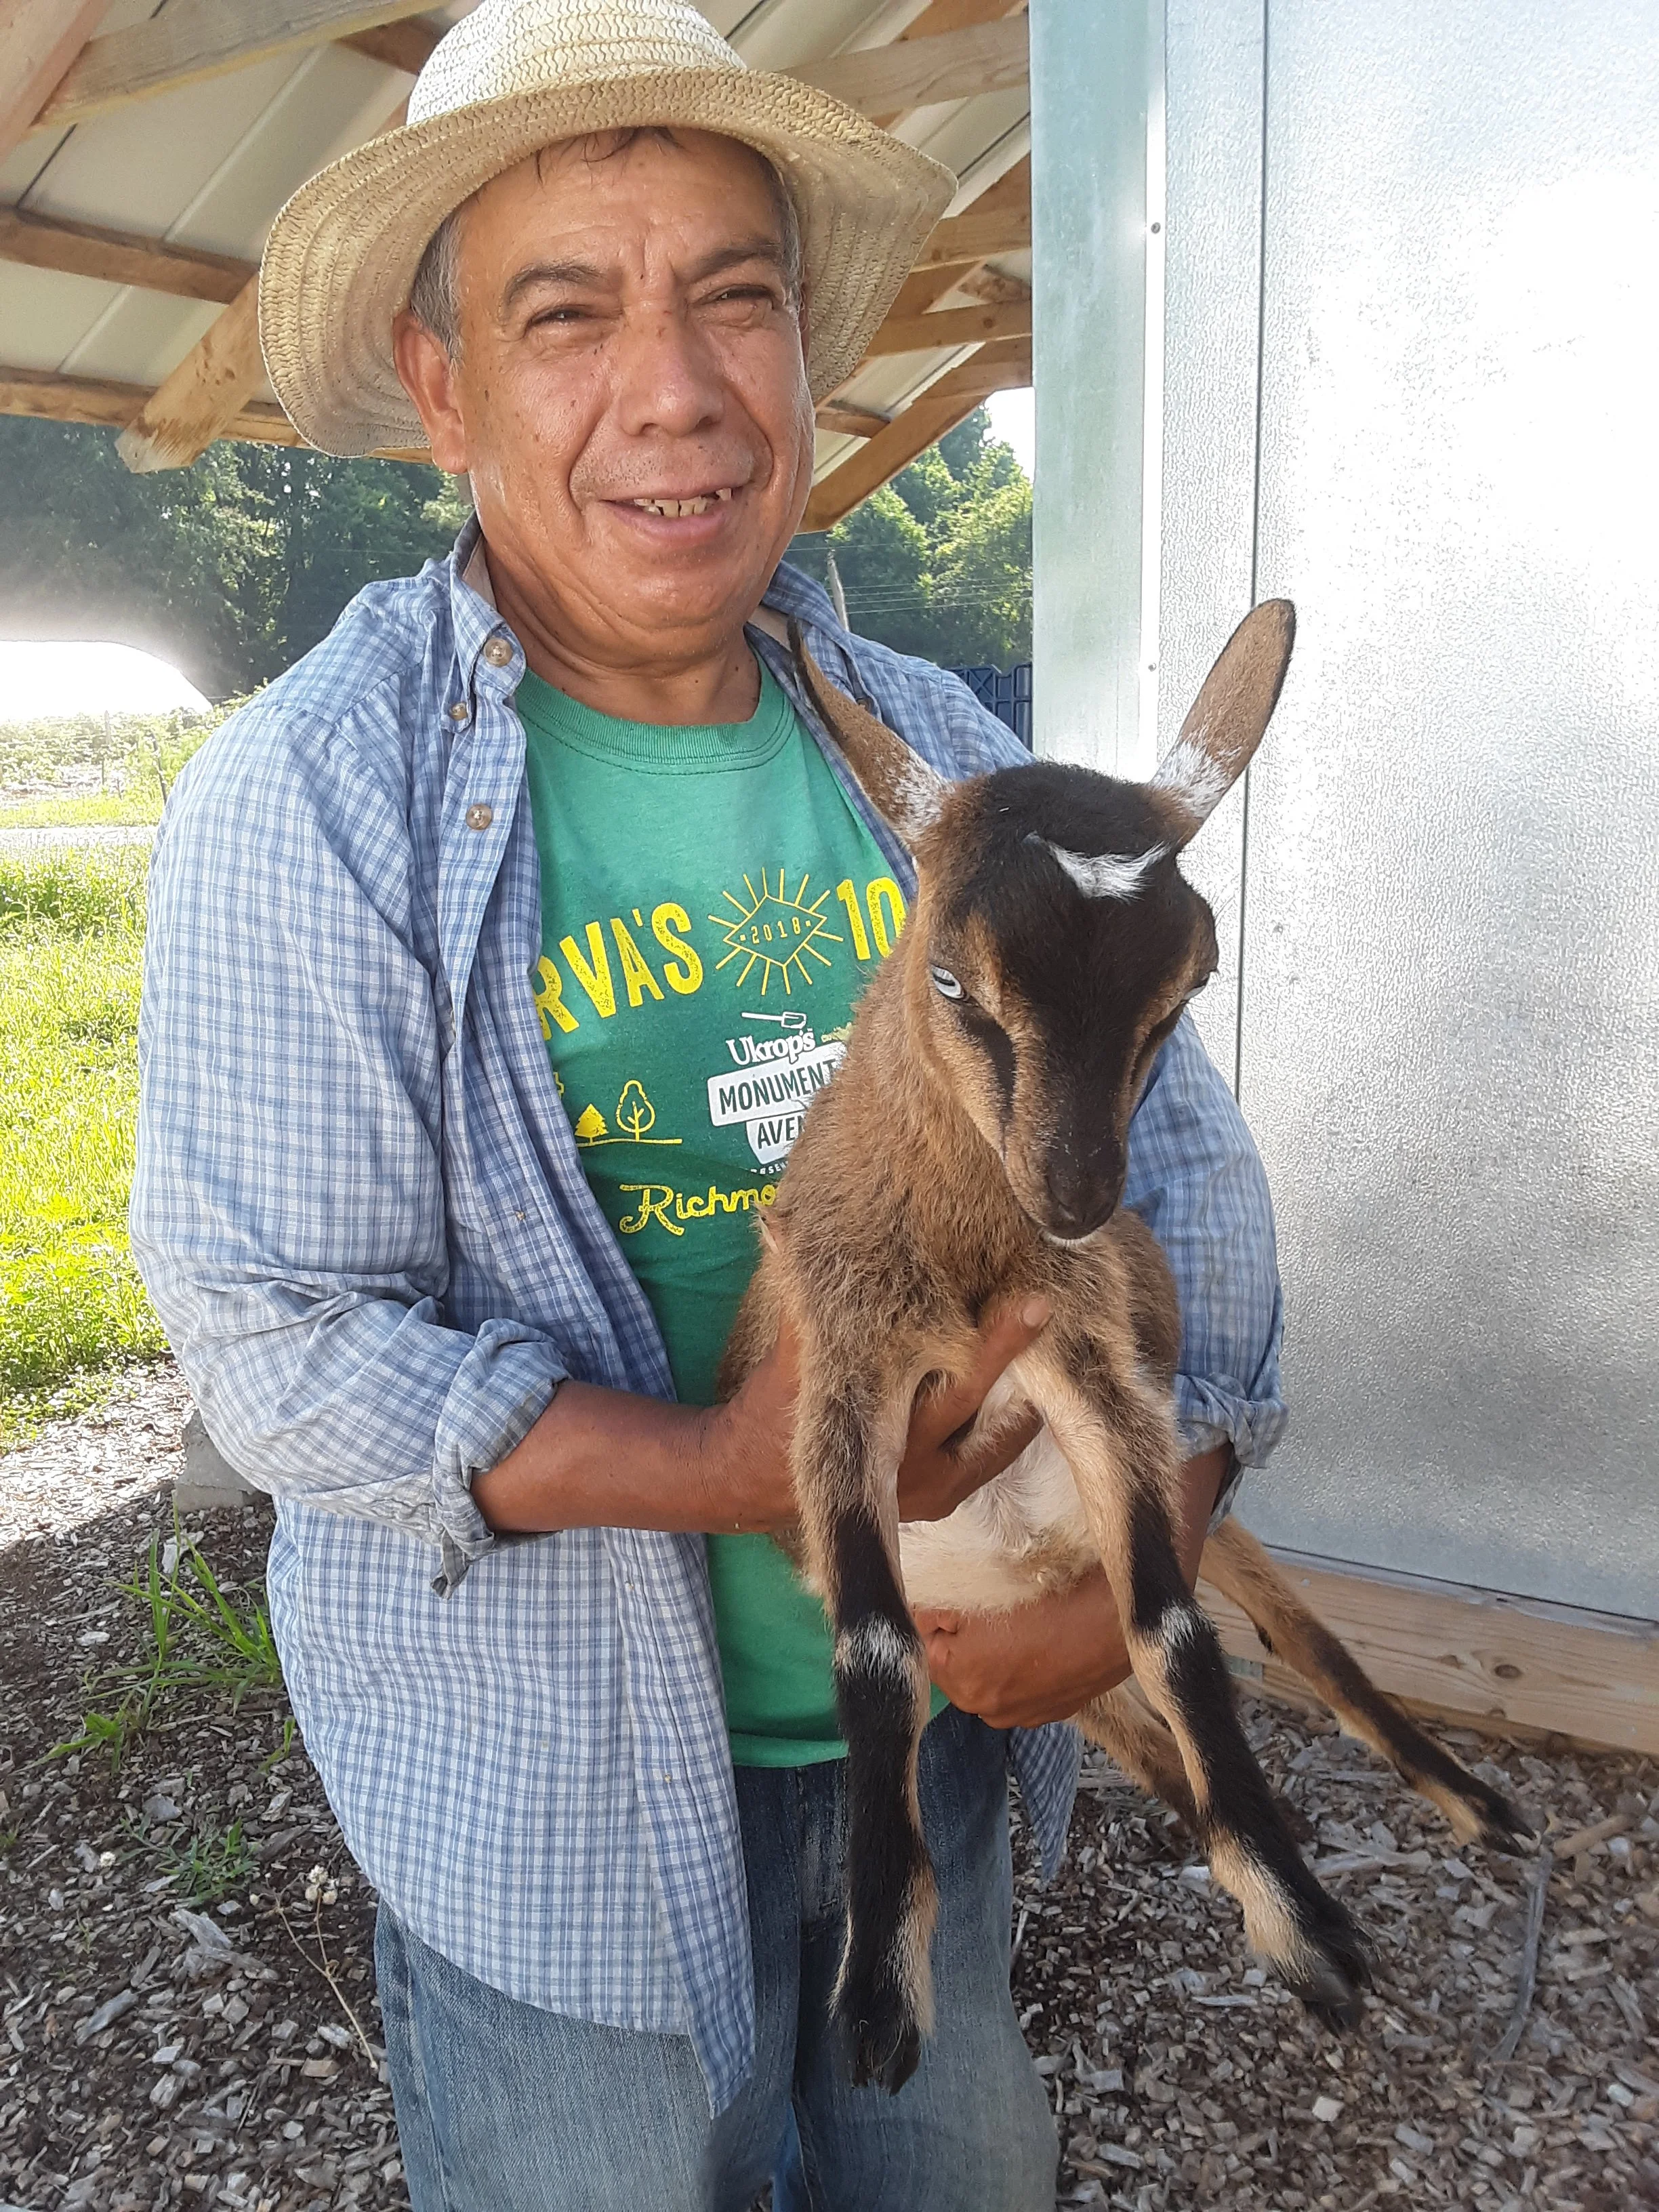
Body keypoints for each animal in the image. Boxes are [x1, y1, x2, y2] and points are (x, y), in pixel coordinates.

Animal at [719, 603, 1528, 2093]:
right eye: (948, 973)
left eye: (1188, 982)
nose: (1081, 1193)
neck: (973, 1263)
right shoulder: (841, 1377)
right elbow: (873, 1652)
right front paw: (877, 1992)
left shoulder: (1092, 1369)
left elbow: (1173, 1628)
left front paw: (1303, 1918)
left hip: (1197, 1513)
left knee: (1303, 1645)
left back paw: (1464, 1805)